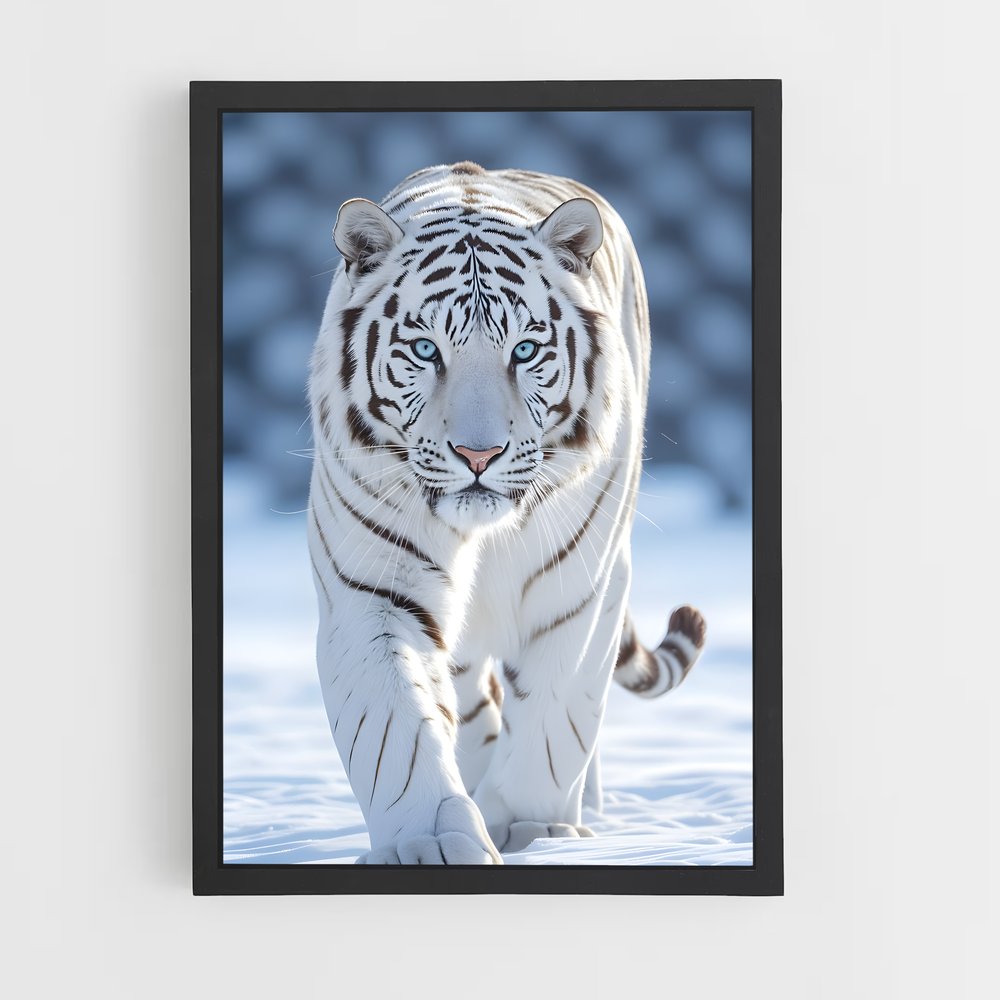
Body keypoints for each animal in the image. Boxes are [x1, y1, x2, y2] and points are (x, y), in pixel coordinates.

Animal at [307, 162, 706, 864]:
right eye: (425, 350)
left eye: (523, 351)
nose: (478, 454)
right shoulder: (374, 590)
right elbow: (394, 730)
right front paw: (432, 842)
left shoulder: (578, 589)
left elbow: (554, 716)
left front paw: (533, 829)